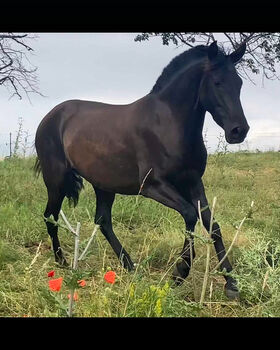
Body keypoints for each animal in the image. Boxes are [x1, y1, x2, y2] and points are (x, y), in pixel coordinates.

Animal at [35, 41, 249, 298]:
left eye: (239, 83)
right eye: (217, 82)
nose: (239, 131)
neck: (168, 124)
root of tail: (50, 117)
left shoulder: (193, 182)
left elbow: (212, 225)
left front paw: (231, 284)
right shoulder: (153, 186)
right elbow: (190, 214)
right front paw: (180, 272)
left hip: (103, 185)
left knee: (102, 220)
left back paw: (129, 265)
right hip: (55, 180)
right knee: (51, 216)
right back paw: (62, 262)